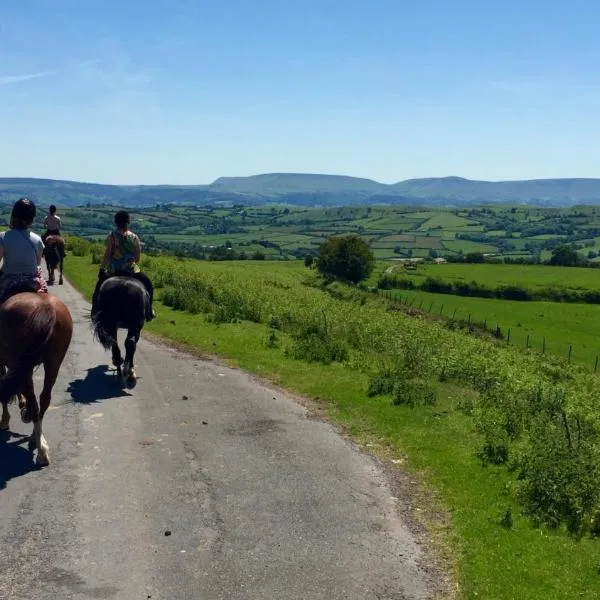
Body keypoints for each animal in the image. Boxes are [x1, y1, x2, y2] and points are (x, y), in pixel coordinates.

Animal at [0, 292, 72, 466]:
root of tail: (46, 306)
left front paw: (5, 420)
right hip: (53, 363)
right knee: (43, 399)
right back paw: (36, 437)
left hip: (23, 364)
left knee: (33, 402)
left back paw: (41, 451)